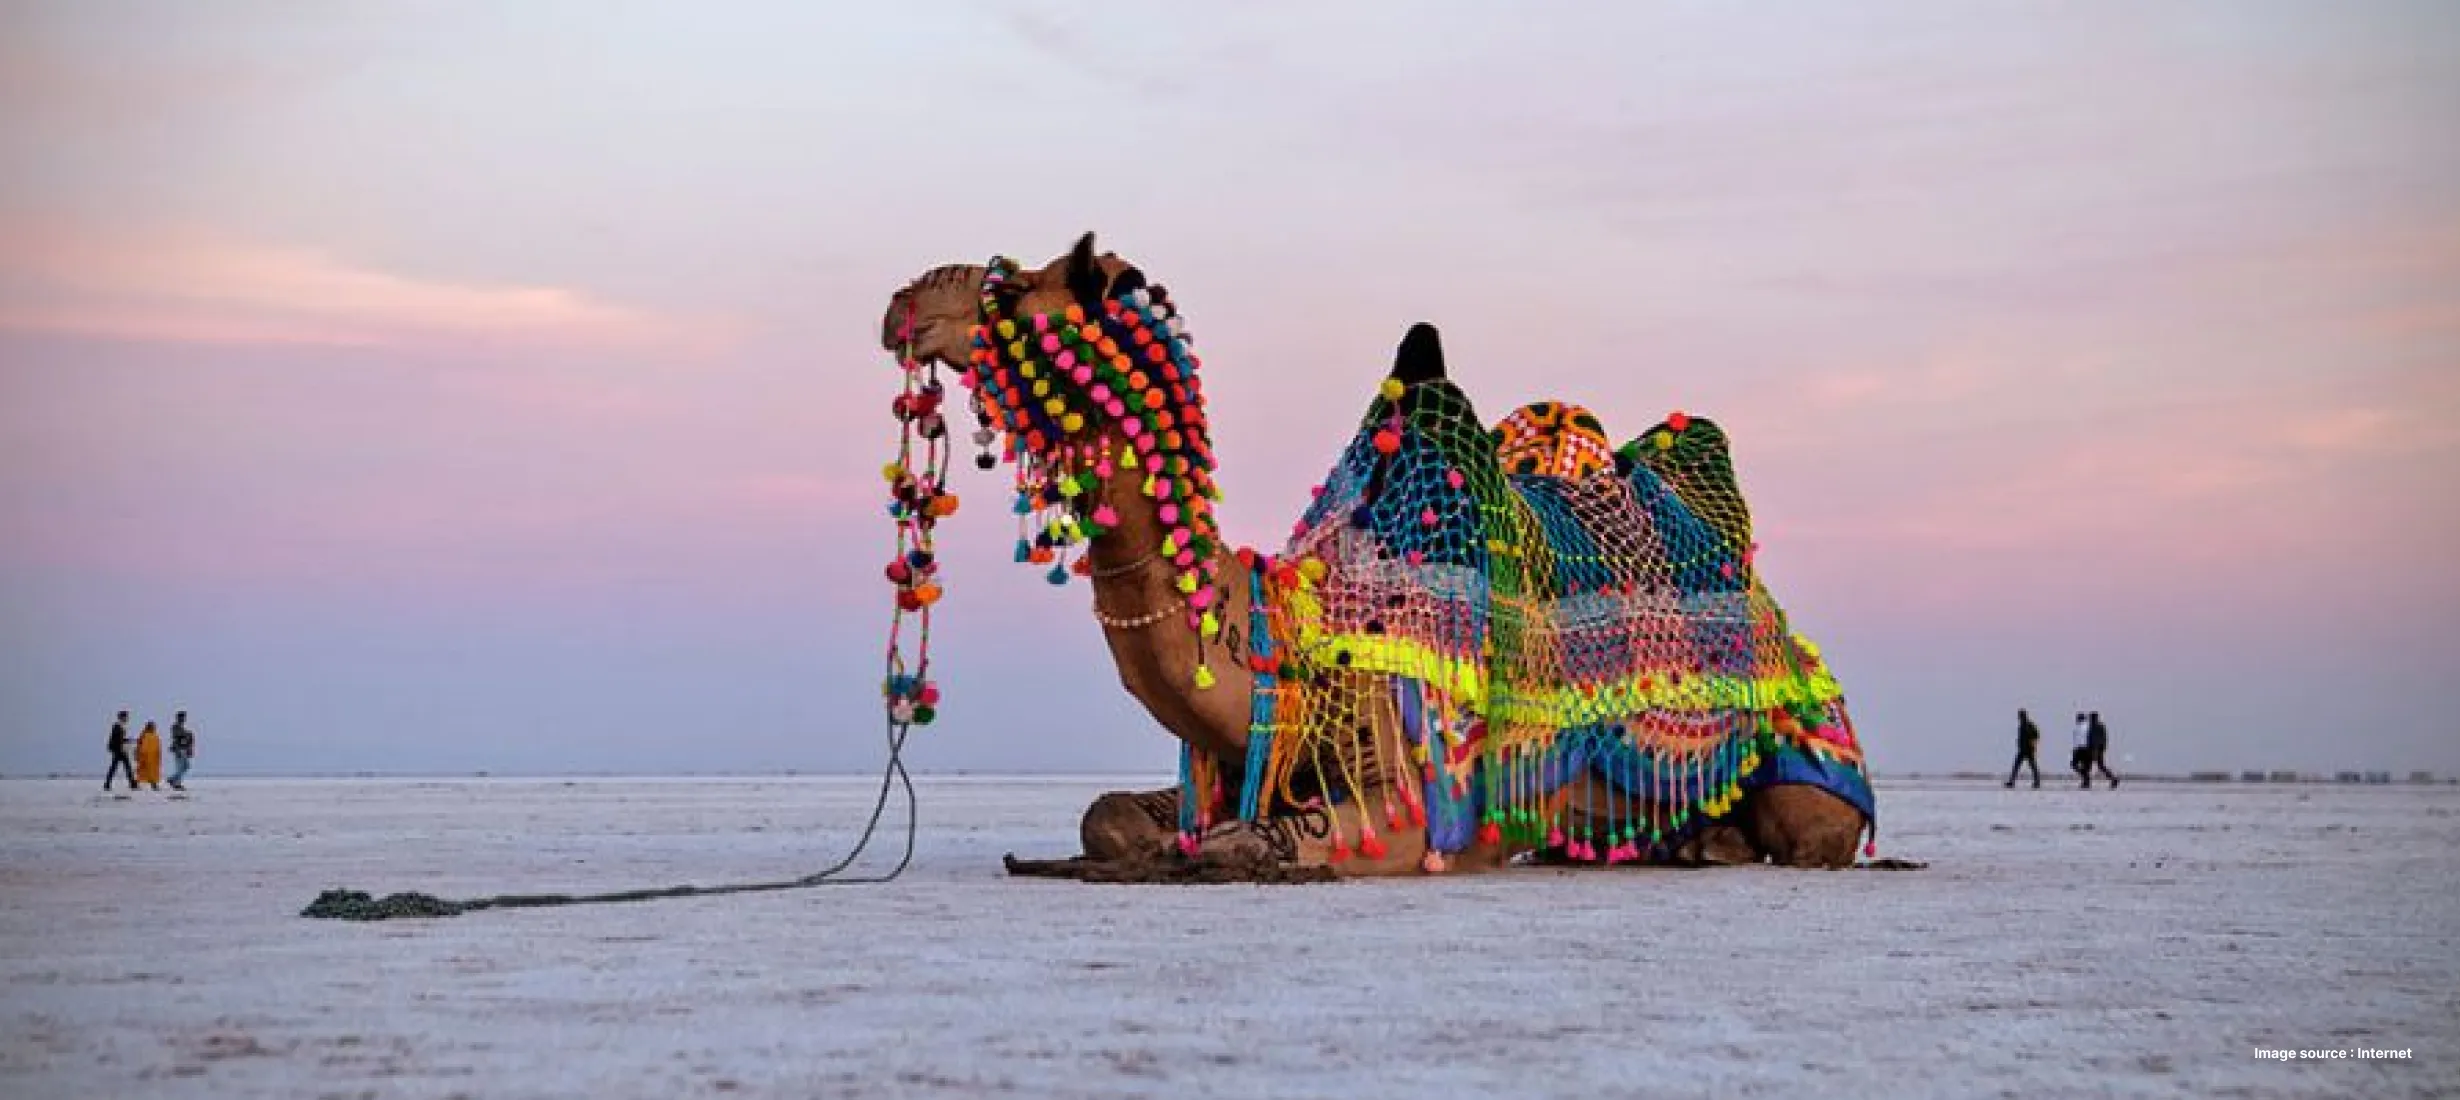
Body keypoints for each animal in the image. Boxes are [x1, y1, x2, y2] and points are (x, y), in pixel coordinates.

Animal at [881, 233, 1874, 877]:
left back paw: (1712, 842)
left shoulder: (1435, 797)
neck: (1287, 626)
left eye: (1012, 289)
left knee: (1811, 832)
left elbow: (1266, 842)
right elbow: (1110, 818)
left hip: (1804, 750)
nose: (904, 302)